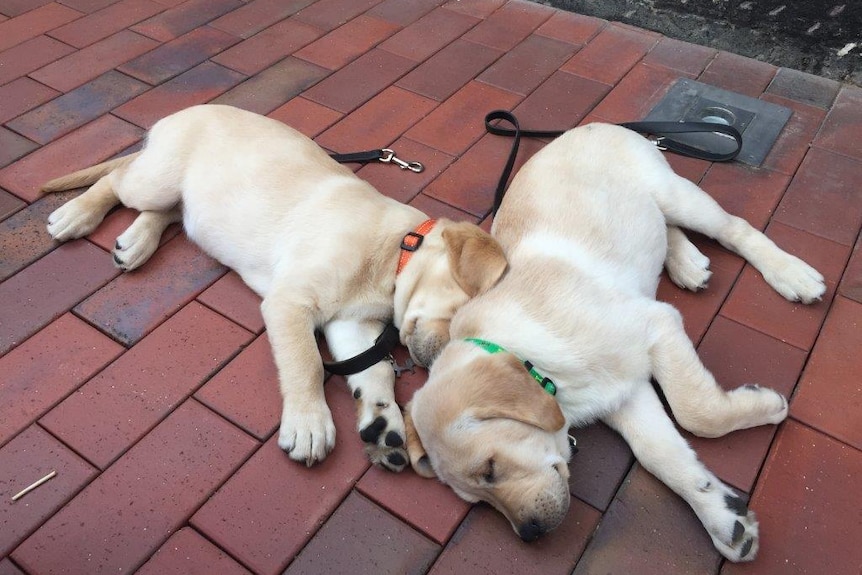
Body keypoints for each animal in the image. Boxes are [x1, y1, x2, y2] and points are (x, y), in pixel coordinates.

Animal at [44, 103, 510, 472]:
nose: (437, 365)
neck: (397, 249)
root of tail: (179, 114)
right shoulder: (291, 301)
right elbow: (307, 363)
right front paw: (309, 424)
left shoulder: (350, 322)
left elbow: (374, 368)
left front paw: (382, 422)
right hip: (156, 178)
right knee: (118, 179)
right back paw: (76, 214)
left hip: (190, 200)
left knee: (172, 212)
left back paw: (136, 242)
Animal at [404, 122, 824, 564]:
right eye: (479, 501)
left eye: (490, 469)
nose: (530, 533)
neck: (533, 361)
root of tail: (591, 125)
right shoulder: (623, 392)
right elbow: (661, 454)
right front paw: (722, 515)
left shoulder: (657, 325)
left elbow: (695, 412)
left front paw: (766, 404)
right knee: (664, 227)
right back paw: (688, 264)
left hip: (677, 194)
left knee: (732, 227)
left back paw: (791, 274)